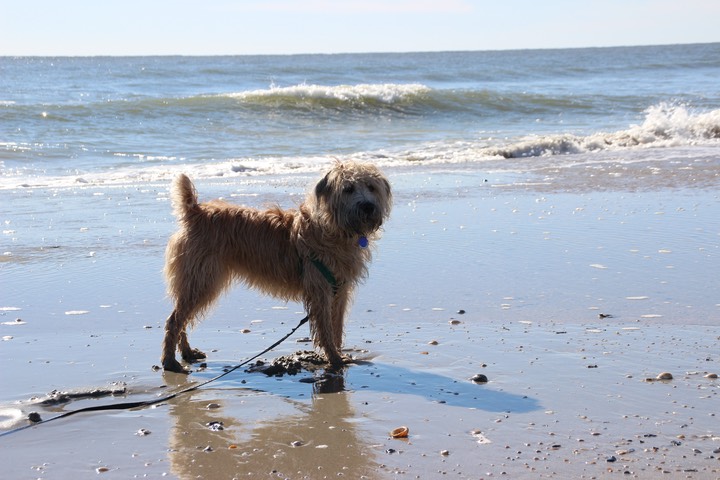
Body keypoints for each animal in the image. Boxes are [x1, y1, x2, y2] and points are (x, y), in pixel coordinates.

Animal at [160, 160, 390, 372]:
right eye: (348, 189)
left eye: (371, 187)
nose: (368, 206)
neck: (334, 230)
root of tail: (195, 212)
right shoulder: (320, 289)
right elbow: (326, 329)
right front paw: (334, 358)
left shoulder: (339, 289)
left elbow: (337, 326)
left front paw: (338, 353)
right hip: (200, 279)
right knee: (175, 320)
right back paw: (170, 361)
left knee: (181, 319)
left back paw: (187, 353)